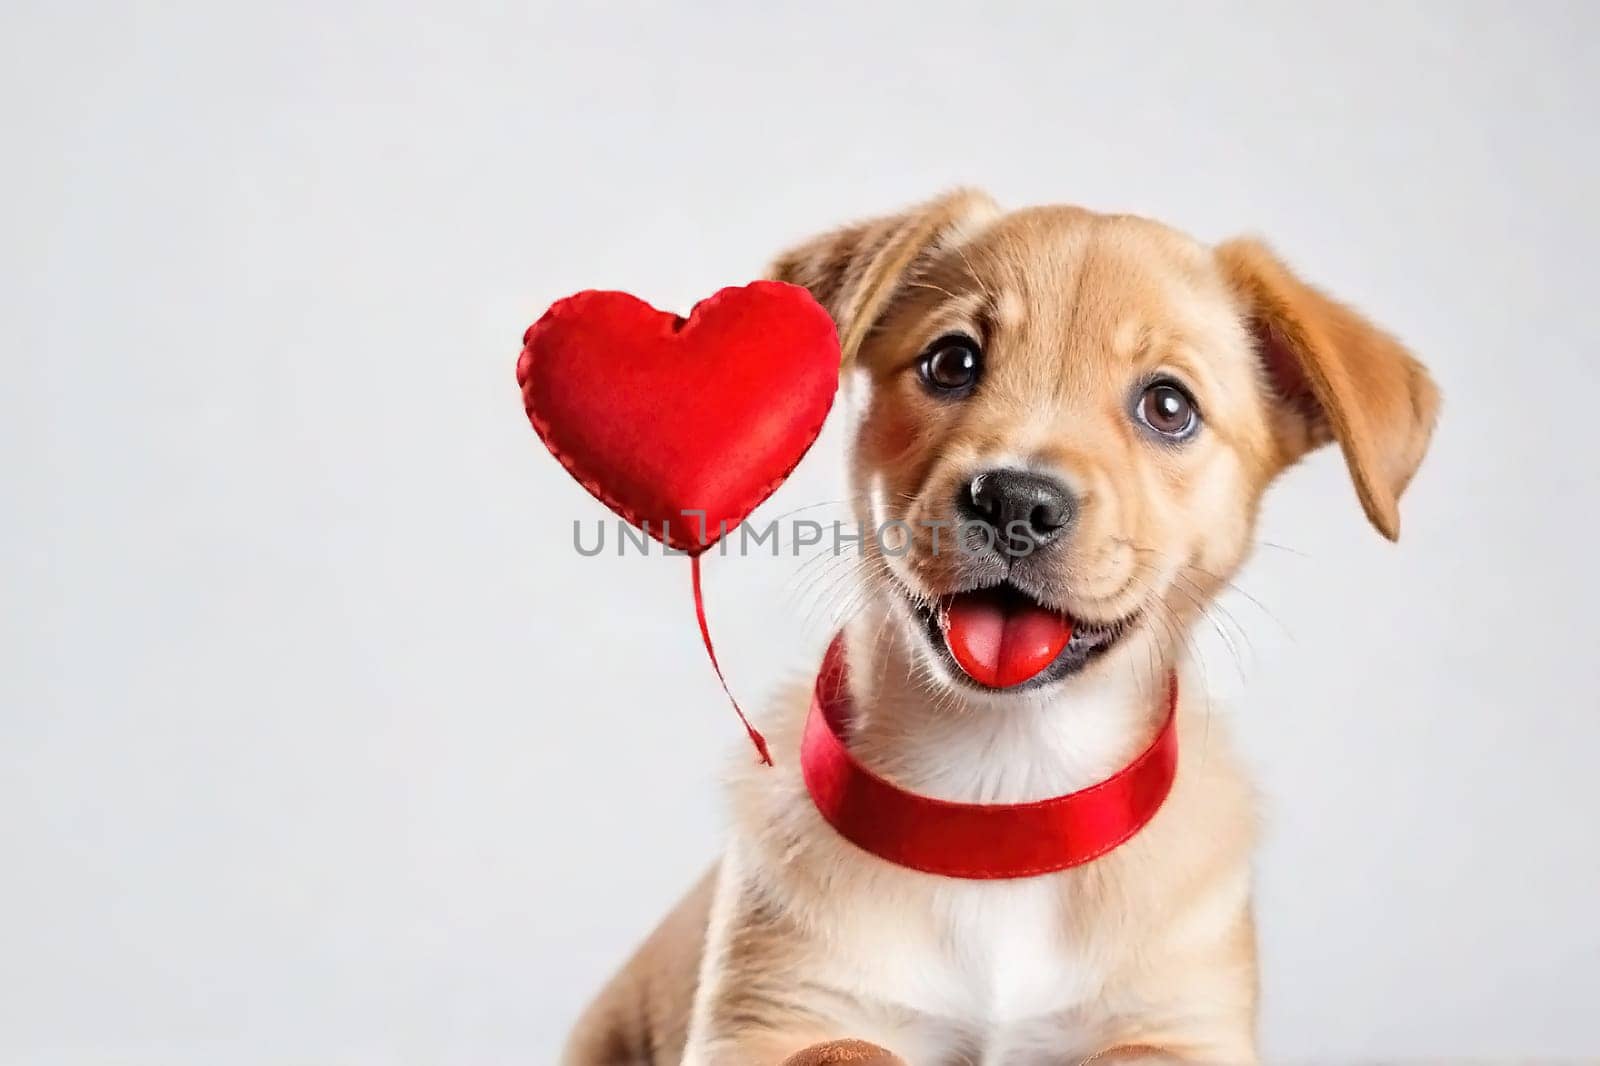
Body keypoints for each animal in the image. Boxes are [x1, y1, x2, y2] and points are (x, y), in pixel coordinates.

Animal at [563, 191, 1440, 1062]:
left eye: (1169, 407)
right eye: (952, 363)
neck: (1004, 801)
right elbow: (850, 1049)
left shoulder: (1186, 1028)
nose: (1017, 500)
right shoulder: (767, 1018)